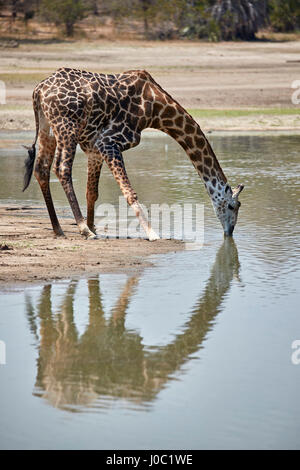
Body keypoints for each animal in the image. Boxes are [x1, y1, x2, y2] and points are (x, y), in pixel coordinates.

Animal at [23, 66, 244, 241]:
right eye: (233, 206)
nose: (230, 232)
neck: (156, 109)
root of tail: (38, 90)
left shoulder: (94, 149)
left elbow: (92, 192)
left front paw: (95, 226)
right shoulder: (109, 142)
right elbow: (129, 193)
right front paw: (152, 234)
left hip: (48, 129)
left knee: (41, 169)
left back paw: (59, 229)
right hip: (66, 127)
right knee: (62, 168)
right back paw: (83, 229)